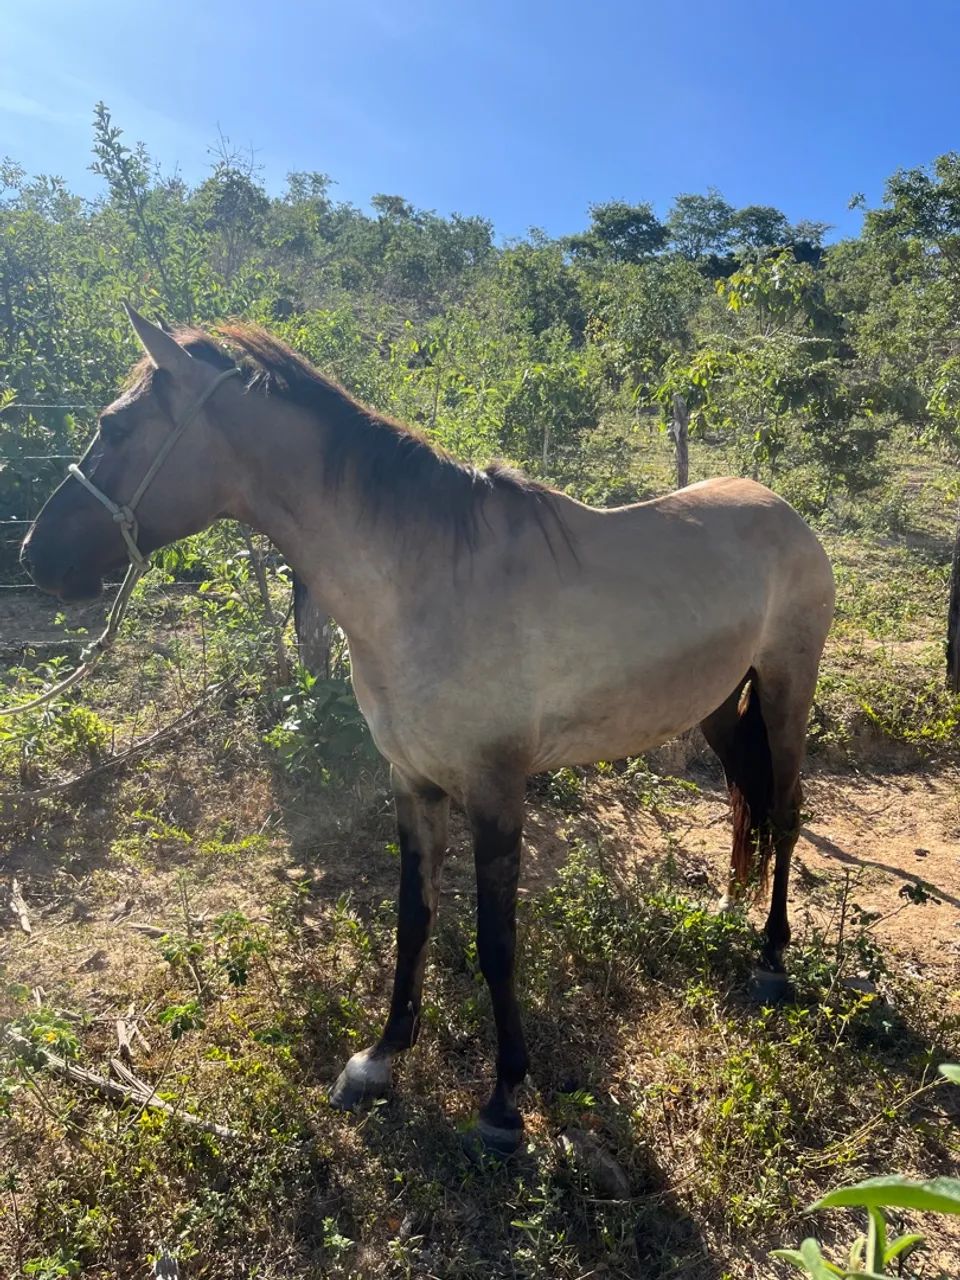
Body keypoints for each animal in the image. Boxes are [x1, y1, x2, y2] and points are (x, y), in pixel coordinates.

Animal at [21, 306, 835, 1155]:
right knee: (748, 802)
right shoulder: (412, 783)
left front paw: (504, 1099)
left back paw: (772, 956)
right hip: (717, 707)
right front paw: (379, 1060)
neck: (425, 585)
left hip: (787, 688)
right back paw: (730, 912)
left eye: (115, 427)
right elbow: (413, 920)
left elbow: (495, 943)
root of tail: (780, 507)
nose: (35, 557)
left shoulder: (496, 791)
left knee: (784, 809)